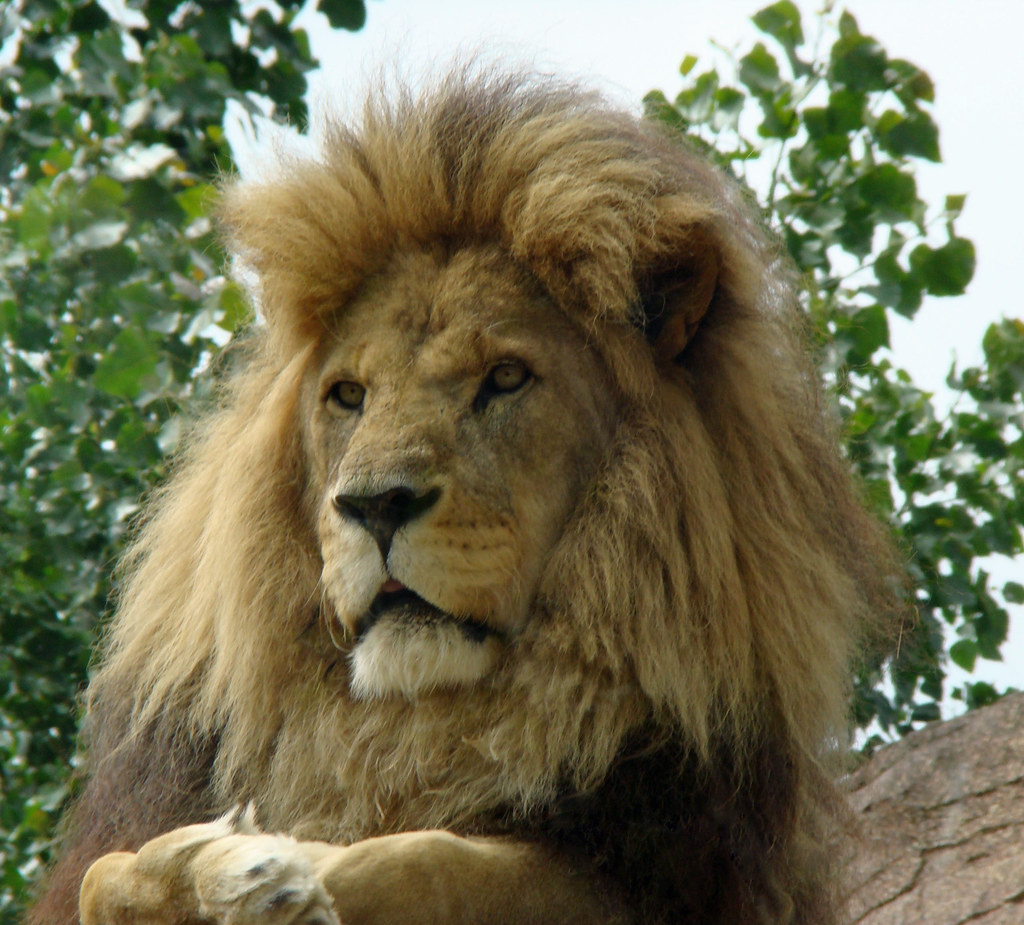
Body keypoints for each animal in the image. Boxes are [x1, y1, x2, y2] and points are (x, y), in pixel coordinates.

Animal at [29, 69, 901, 925]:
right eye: (348, 395)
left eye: (505, 377)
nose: (376, 505)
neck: (409, 723)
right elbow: (103, 875)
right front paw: (221, 865)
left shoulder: (675, 874)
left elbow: (428, 859)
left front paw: (271, 873)